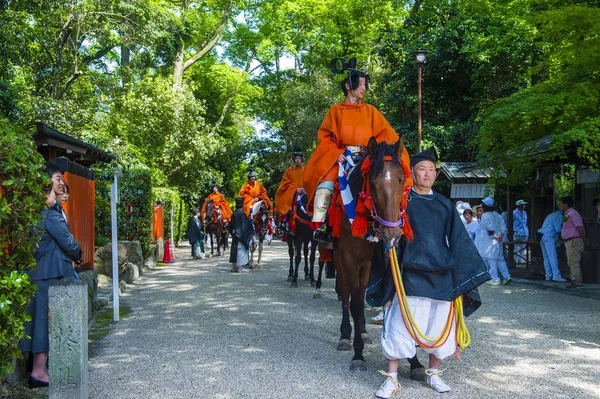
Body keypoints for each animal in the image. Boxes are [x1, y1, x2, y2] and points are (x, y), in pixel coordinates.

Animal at [332, 137, 408, 372]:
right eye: (372, 183)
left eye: (402, 180)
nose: (391, 233)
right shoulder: (348, 256)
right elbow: (355, 302)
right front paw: (358, 354)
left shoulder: (374, 259)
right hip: (338, 256)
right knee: (346, 292)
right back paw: (345, 335)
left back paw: (364, 331)